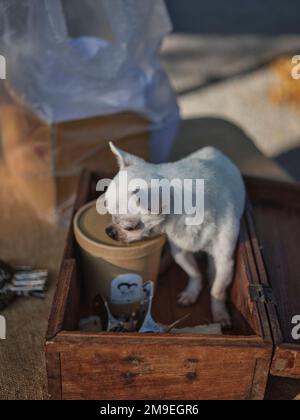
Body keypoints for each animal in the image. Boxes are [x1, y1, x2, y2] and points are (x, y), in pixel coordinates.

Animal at [102, 143, 245, 326]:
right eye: (110, 215)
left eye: (130, 227)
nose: (109, 231)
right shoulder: (181, 252)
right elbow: (194, 273)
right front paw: (191, 293)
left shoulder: (224, 261)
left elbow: (217, 290)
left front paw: (220, 313)